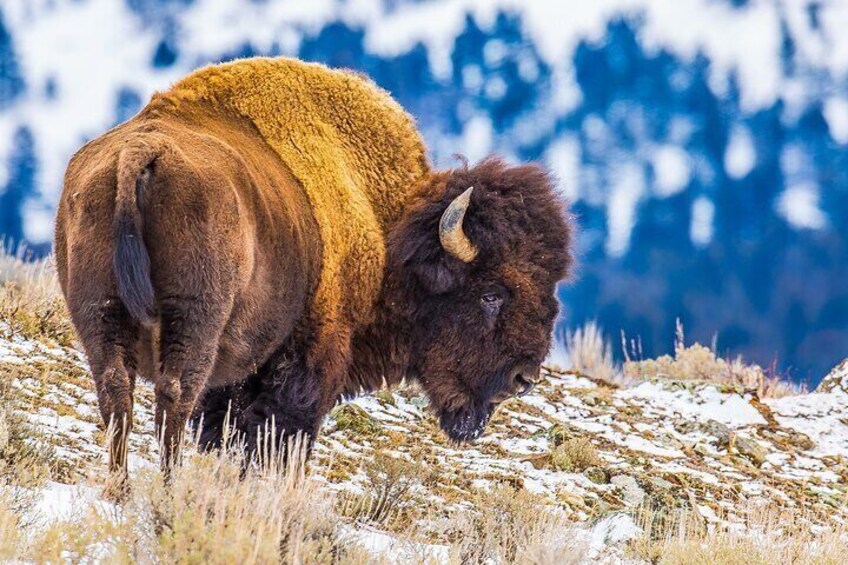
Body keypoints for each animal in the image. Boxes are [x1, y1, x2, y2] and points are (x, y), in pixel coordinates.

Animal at [53, 57, 568, 476]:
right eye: (490, 293)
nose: (524, 378)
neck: (388, 230)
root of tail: (140, 154)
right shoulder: (306, 362)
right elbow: (277, 436)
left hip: (100, 312)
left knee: (116, 393)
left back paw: (120, 488)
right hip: (194, 322)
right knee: (175, 396)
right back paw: (165, 487)